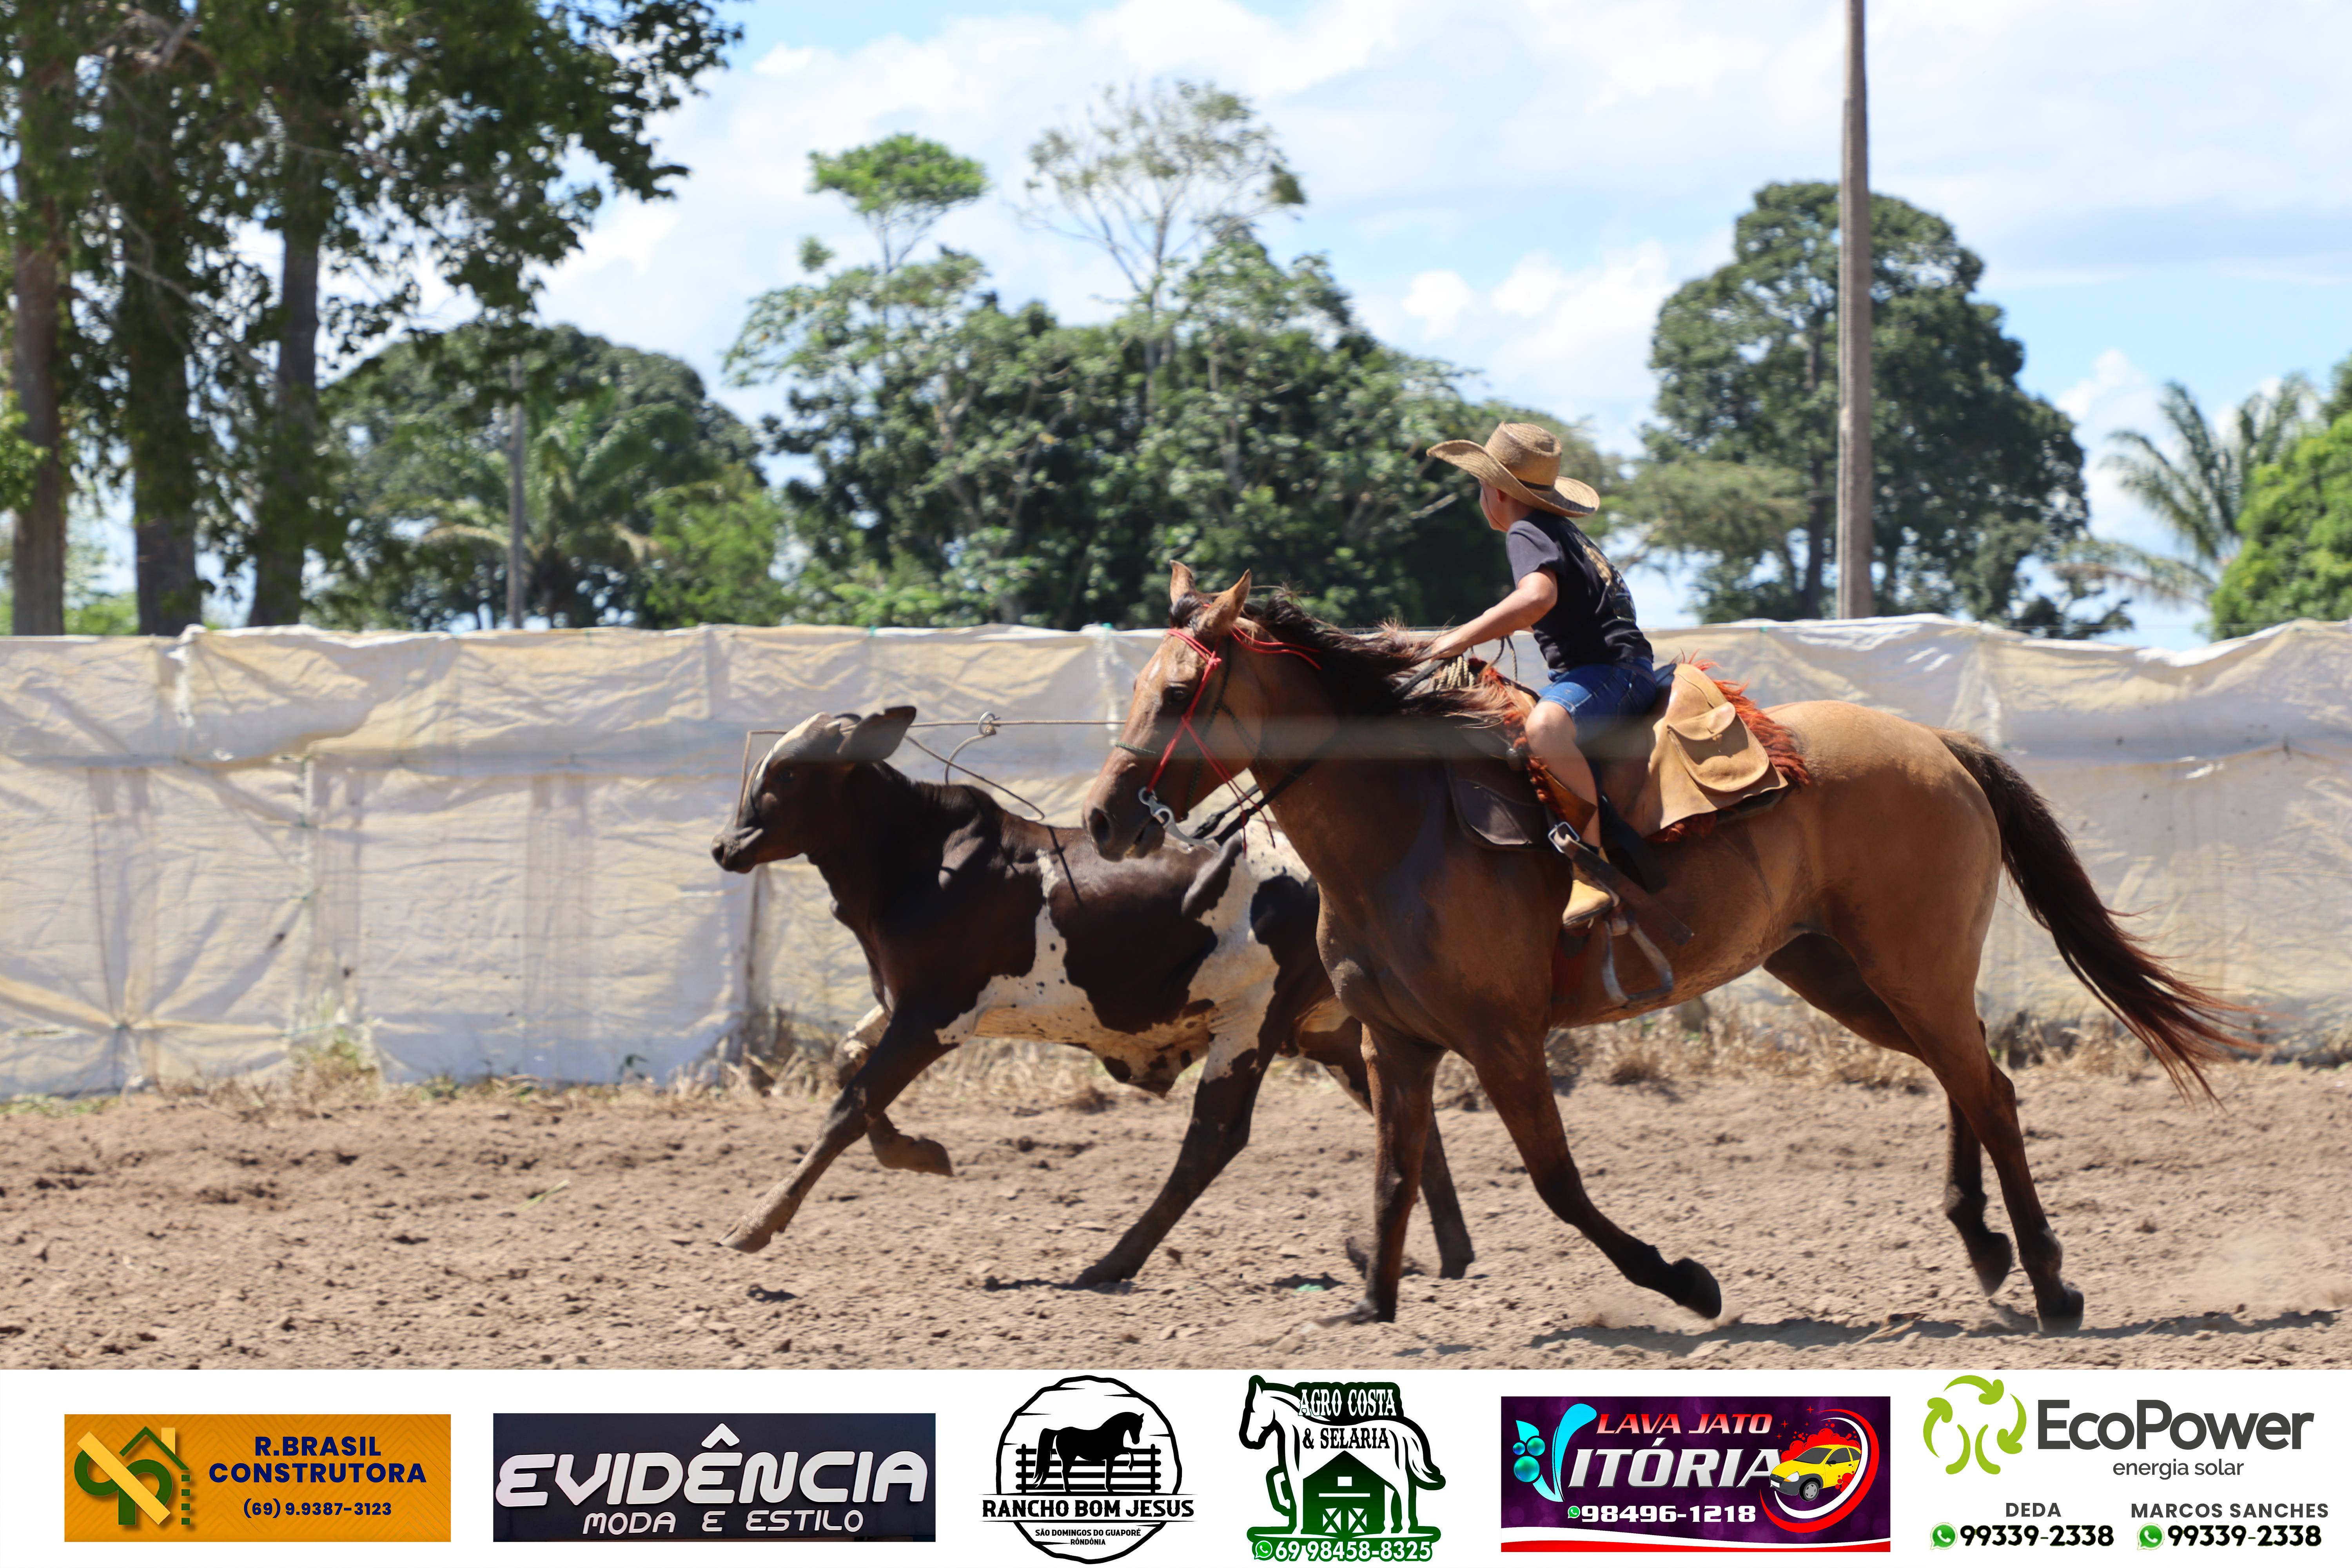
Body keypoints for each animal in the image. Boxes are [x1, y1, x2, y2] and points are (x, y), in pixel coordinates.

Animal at [708, 707, 1474, 1286]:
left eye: (787, 773)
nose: (724, 846)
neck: (919, 860)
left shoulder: (934, 1017)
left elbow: (849, 1106)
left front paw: (757, 1223)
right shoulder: (902, 1008)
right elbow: (847, 1064)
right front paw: (917, 1151)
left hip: (1252, 1023)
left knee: (1213, 1142)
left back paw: (1111, 1263)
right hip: (1326, 1031)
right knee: (1408, 1115)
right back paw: (1449, 1252)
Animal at [1080, 564, 2245, 1332]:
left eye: (1180, 693)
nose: (1102, 818)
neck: (1399, 831)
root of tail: (1941, 744)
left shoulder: (1504, 1040)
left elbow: (1556, 1183)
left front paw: (1686, 1281)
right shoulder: (1396, 1045)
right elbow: (1392, 1176)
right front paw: (1370, 1302)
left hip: (1909, 966)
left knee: (1988, 1089)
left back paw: (2050, 1280)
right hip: (1846, 973)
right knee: (1969, 1077)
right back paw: (1990, 1248)